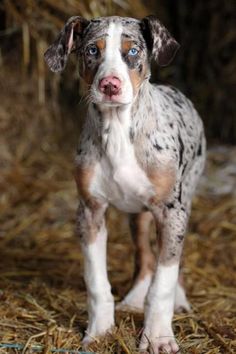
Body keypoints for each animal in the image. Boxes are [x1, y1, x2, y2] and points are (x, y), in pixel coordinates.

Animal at [44, 14, 206, 354]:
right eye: (92, 50)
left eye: (132, 51)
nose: (110, 85)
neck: (118, 128)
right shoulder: (89, 211)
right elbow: (96, 281)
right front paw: (99, 331)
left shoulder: (172, 211)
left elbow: (163, 282)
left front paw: (158, 337)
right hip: (138, 216)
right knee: (144, 255)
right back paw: (132, 299)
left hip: (184, 200)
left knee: (170, 258)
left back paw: (179, 300)